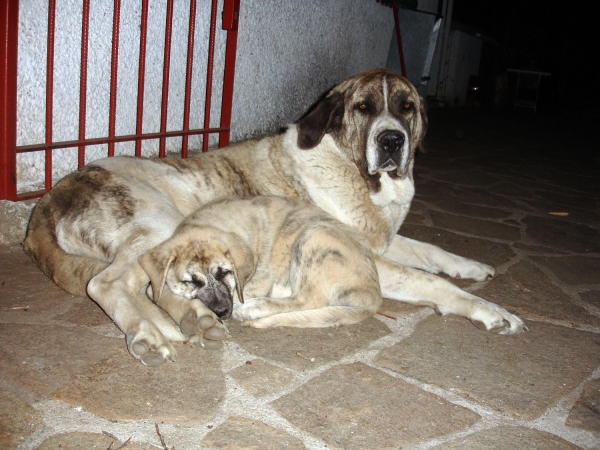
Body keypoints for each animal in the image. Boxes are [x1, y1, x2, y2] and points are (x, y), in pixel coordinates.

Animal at [138, 198, 380, 334]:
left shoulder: (261, 275)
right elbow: (156, 290)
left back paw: (253, 308)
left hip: (315, 236)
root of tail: (374, 296)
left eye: (225, 273)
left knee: (306, 299)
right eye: (191, 281)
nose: (222, 312)